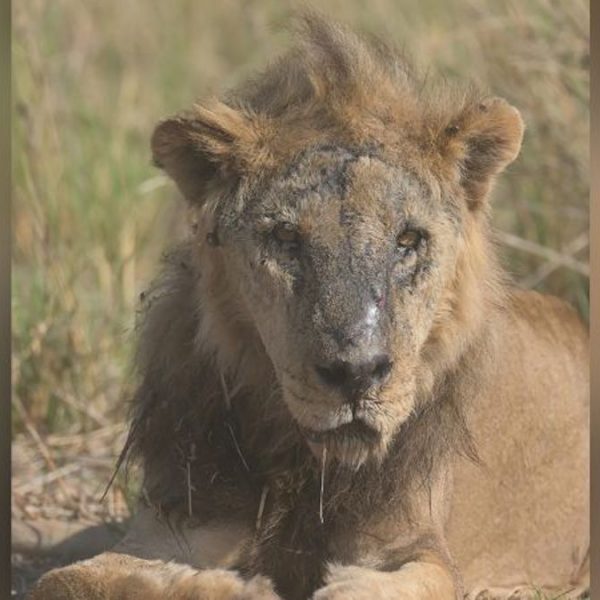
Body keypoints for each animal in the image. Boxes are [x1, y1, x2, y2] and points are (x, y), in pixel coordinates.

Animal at [29, 13, 589, 600]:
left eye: (408, 239)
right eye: (285, 238)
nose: (356, 374)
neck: (302, 463)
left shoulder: (420, 551)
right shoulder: (176, 521)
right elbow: (70, 579)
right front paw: (238, 587)